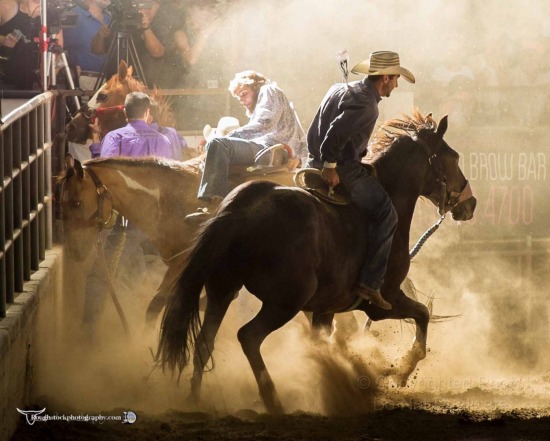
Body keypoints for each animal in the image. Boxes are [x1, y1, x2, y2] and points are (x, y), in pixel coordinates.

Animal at [156, 110, 478, 412]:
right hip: (285, 301)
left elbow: (324, 341)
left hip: (222, 290)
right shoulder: (382, 301)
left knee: (204, 342)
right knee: (248, 336)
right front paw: (401, 372)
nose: (470, 203)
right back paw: (272, 399)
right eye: (453, 157)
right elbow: (422, 315)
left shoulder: (325, 309)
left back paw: (195, 399)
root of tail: (242, 208)